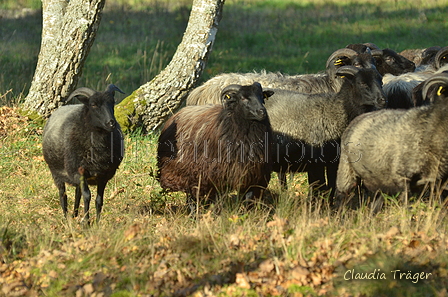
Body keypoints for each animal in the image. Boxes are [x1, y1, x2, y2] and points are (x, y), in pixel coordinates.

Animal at [42, 83, 124, 222]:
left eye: (112, 102)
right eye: (93, 104)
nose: (111, 123)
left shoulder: (104, 175)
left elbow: (98, 200)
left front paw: (97, 223)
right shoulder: (79, 171)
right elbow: (87, 196)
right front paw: (86, 222)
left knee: (77, 193)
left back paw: (74, 215)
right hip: (56, 172)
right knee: (63, 195)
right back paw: (66, 219)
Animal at [266, 65, 384, 194]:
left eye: (381, 82)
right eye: (362, 83)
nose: (383, 100)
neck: (336, 110)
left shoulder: (333, 162)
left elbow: (331, 186)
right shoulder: (316, 162)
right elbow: (318, 188)